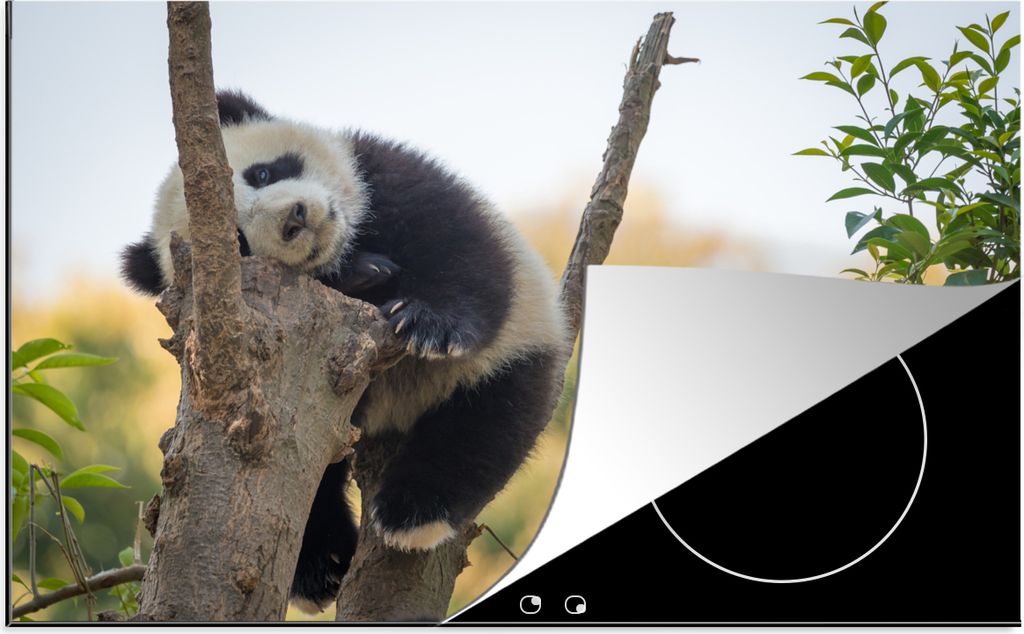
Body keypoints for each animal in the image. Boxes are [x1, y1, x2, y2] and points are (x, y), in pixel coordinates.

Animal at [121, 91, 570, 613]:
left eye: (262, 173)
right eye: (239, 243)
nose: (295, 218)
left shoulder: (384, 173)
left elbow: (459, 247)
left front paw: (428, 323)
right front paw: (364, 272)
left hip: (518, 346)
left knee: (490, 417)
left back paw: (409, 513)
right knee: (319, 475)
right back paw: (329, 565)